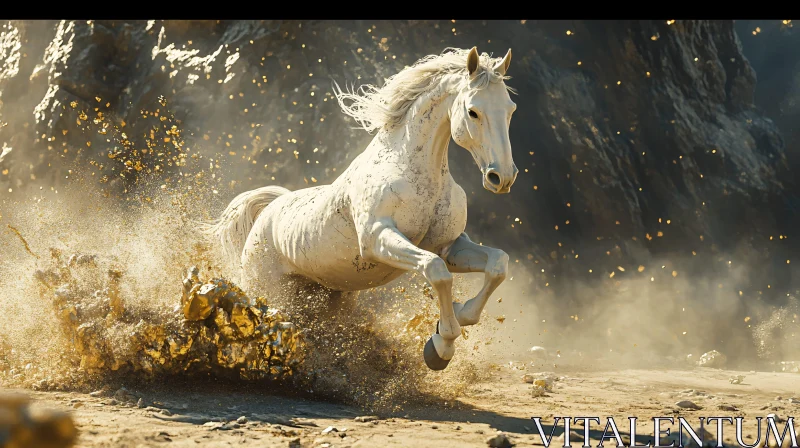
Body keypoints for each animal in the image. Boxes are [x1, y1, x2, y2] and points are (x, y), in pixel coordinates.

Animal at [209, 46, 516, 372]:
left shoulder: (449, 245)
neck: (415, 173)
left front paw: (458, 315)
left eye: (510, 109)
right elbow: (437, 271)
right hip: (268, 293)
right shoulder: (378, 240)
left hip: (331, 301)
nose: (502, 177)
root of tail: (267, 212)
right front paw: (441, 346)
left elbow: (498, 264)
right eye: (473, 111)